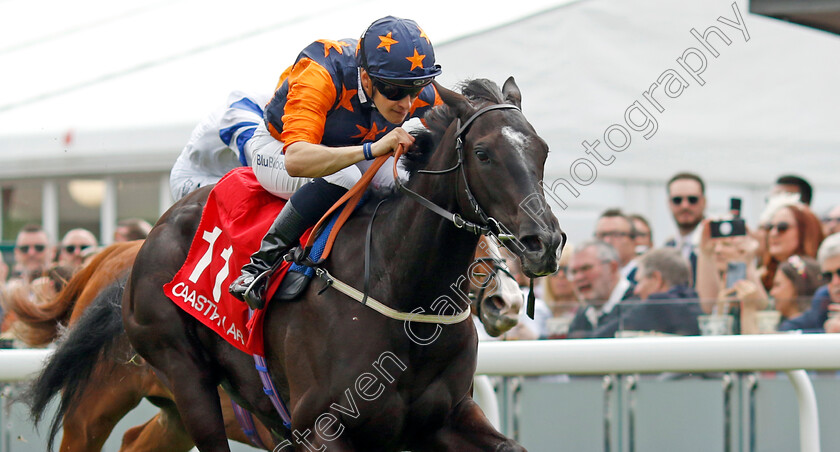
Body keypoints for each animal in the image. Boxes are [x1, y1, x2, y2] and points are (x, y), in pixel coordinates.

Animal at [121, 78, 564, 452]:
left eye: (542, 149)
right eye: (483, 153)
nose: (544, 242)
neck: (402, 294)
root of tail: (157, 227)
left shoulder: (445, 419)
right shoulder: (319, 428)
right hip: (185, 375)